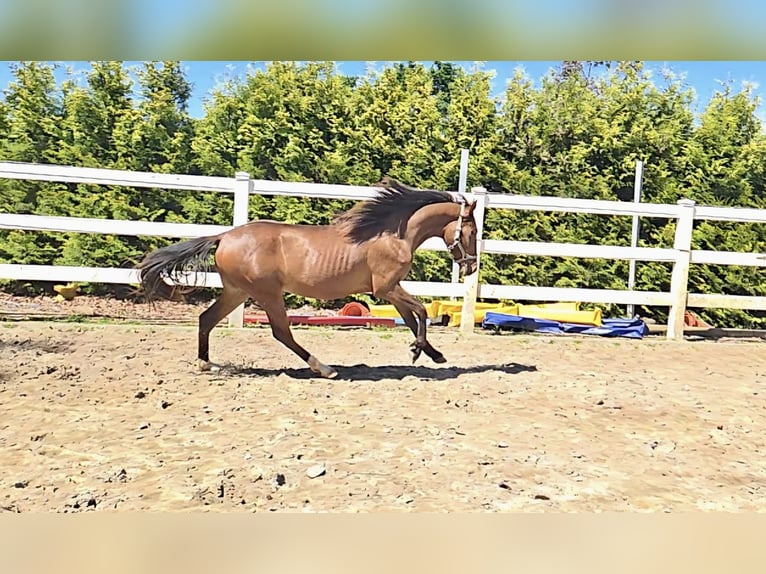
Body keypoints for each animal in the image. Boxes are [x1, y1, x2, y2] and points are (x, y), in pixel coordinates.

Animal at [136, 177, 478, 379]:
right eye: (473, 231)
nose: (471, 267)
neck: (393, 234)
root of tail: (223, 236)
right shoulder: (386, 287)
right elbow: (420, 311)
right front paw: (419, 351)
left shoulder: (390, 289)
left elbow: (410, 317)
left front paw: (434, 354)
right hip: (267, 294)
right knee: (281, 333)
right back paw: (325, 368)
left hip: (237, 292)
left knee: (206, 319)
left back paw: (206, 363)